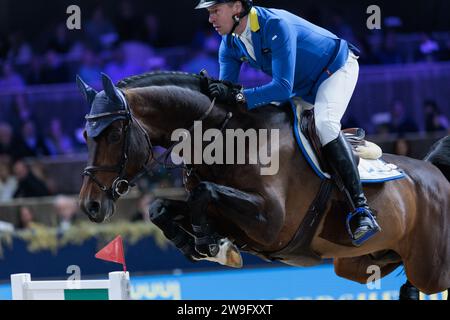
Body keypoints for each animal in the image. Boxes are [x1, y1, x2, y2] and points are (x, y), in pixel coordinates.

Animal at [78, 71, 450, 298]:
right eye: (85, 135)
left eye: (113, 134)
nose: (89, 206)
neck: (227, 137)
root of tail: (437, 174)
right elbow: (163, 207)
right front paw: (198, 244)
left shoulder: (271, 223)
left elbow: (203, 193)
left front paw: (211, 245)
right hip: (363, 263)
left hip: (431, 267)